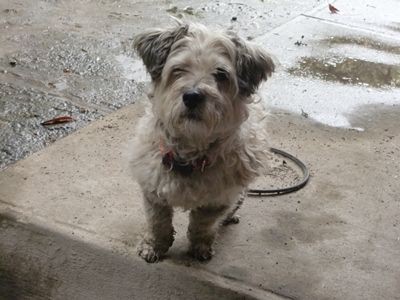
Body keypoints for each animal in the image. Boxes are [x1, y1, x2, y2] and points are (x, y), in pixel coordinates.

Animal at [133, 24, 274, 262]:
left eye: (221, 74)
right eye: (179, 69)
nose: (192, 96)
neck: (190, 154)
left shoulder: (218, 200)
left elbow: (203, 225)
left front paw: (200, 246)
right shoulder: (153, 191)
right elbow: (158, 223)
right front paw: (154, 246)